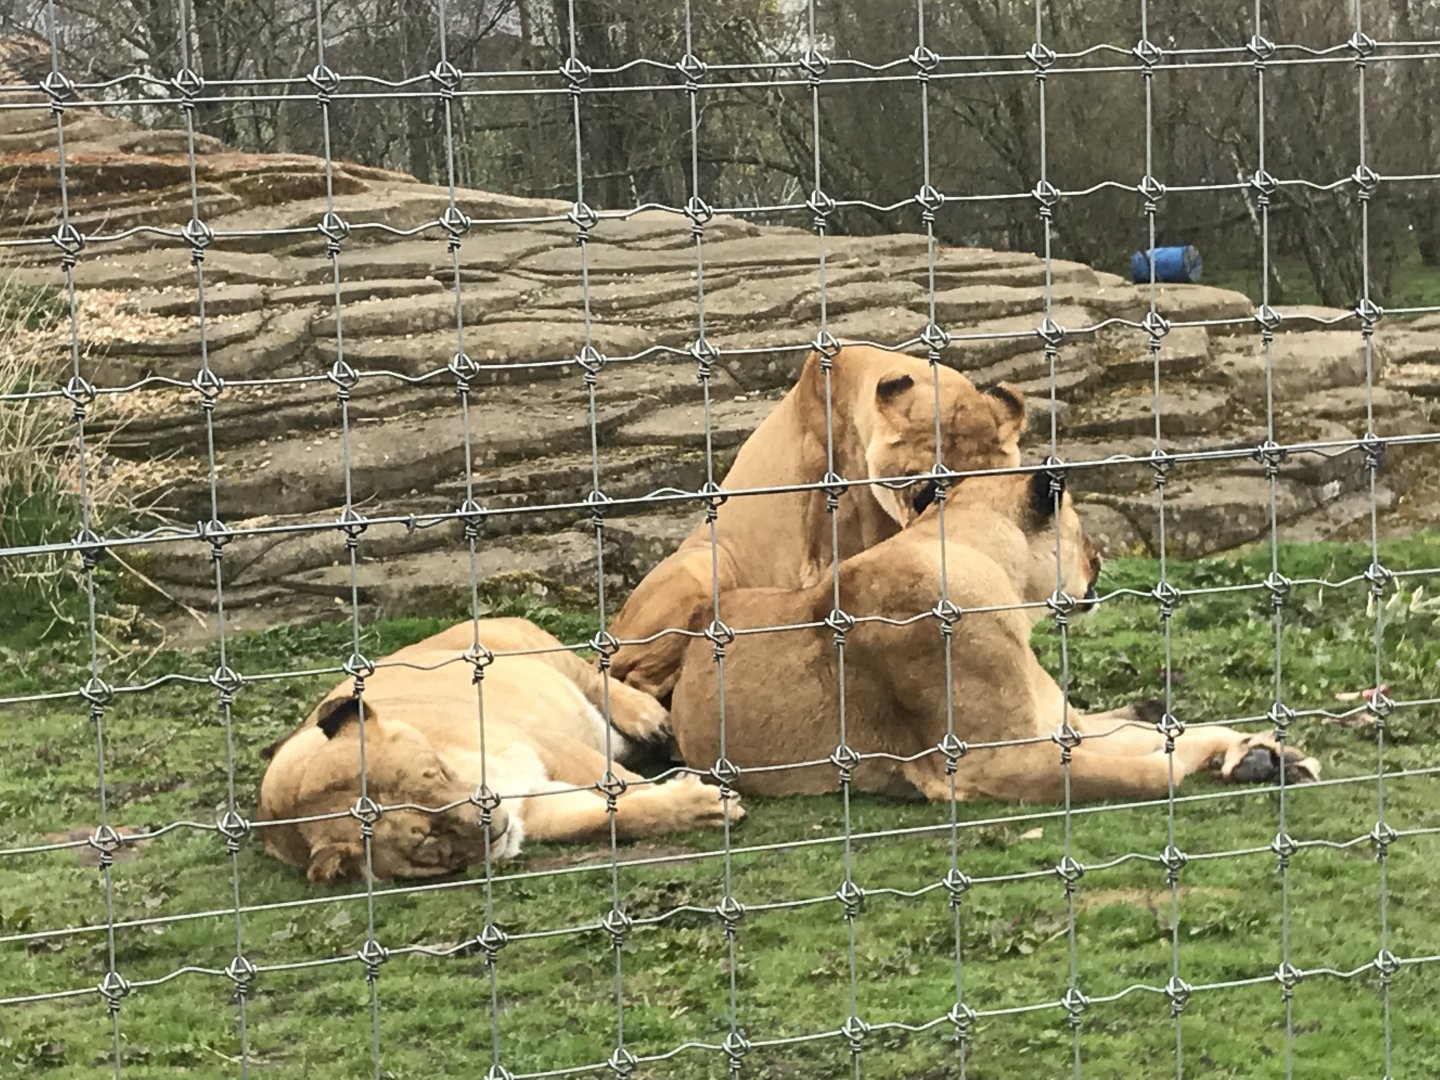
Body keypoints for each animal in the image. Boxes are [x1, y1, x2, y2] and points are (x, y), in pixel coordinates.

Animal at [255, 618, 742, 883]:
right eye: (426, 841)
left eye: (434, 774)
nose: (494, 825)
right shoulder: (538, 806)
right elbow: (608, 816)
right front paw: (702, 806)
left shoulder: (546, 743)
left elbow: (619, 785)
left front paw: (710, 801)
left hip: (533, 650)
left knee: (597, 675)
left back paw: (652, 721)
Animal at [662, 470, 1320, 803]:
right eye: (1082, 527)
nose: (1101, 556)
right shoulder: (984, 766)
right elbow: (1154, 768)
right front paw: (1244, 759)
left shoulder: (1058, 724)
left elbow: (1173, 731)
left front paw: (1266, 753)